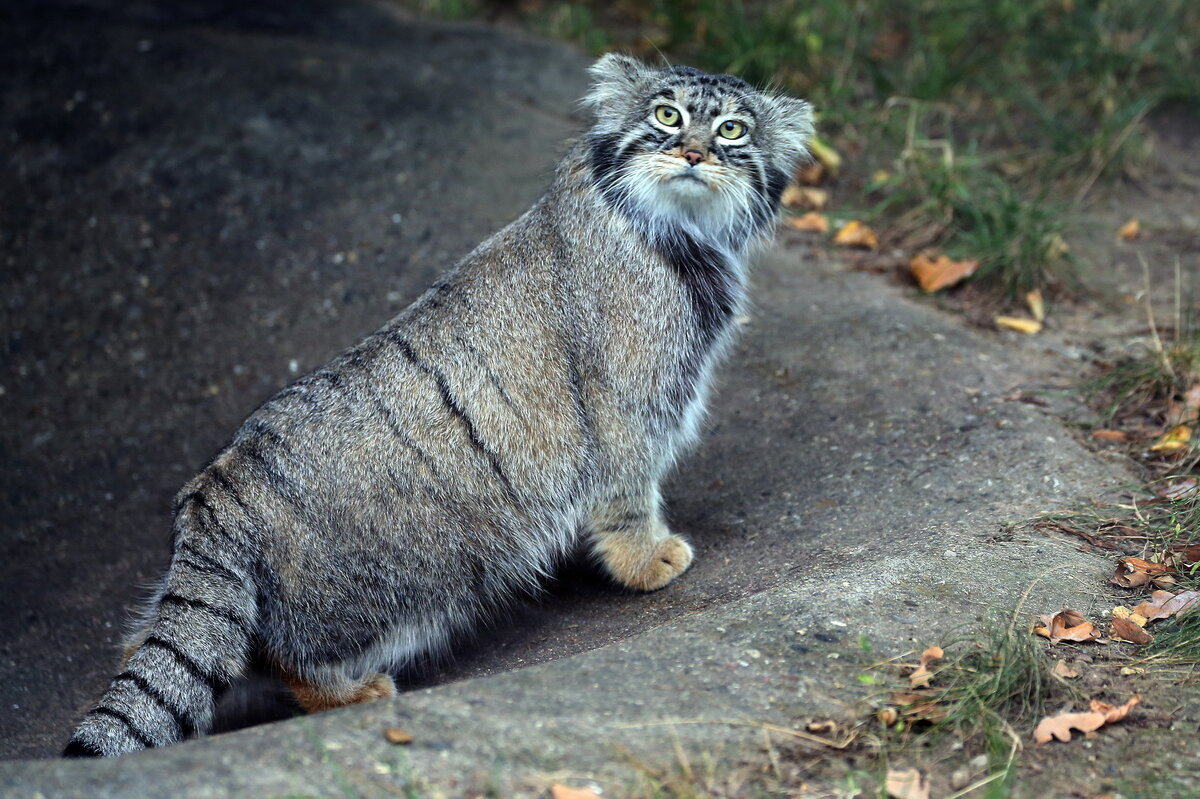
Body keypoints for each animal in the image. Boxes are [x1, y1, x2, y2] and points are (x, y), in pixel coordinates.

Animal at [65, 54, 816, 753]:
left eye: (732, 129)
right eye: (666, 115)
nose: (693, 152)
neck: (671, 225)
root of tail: (215, 488)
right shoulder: (628, 408)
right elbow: (630, 492)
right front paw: (646, 559)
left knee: (157, 653)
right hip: (391, 588)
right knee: (291, 658)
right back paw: (351, 692)